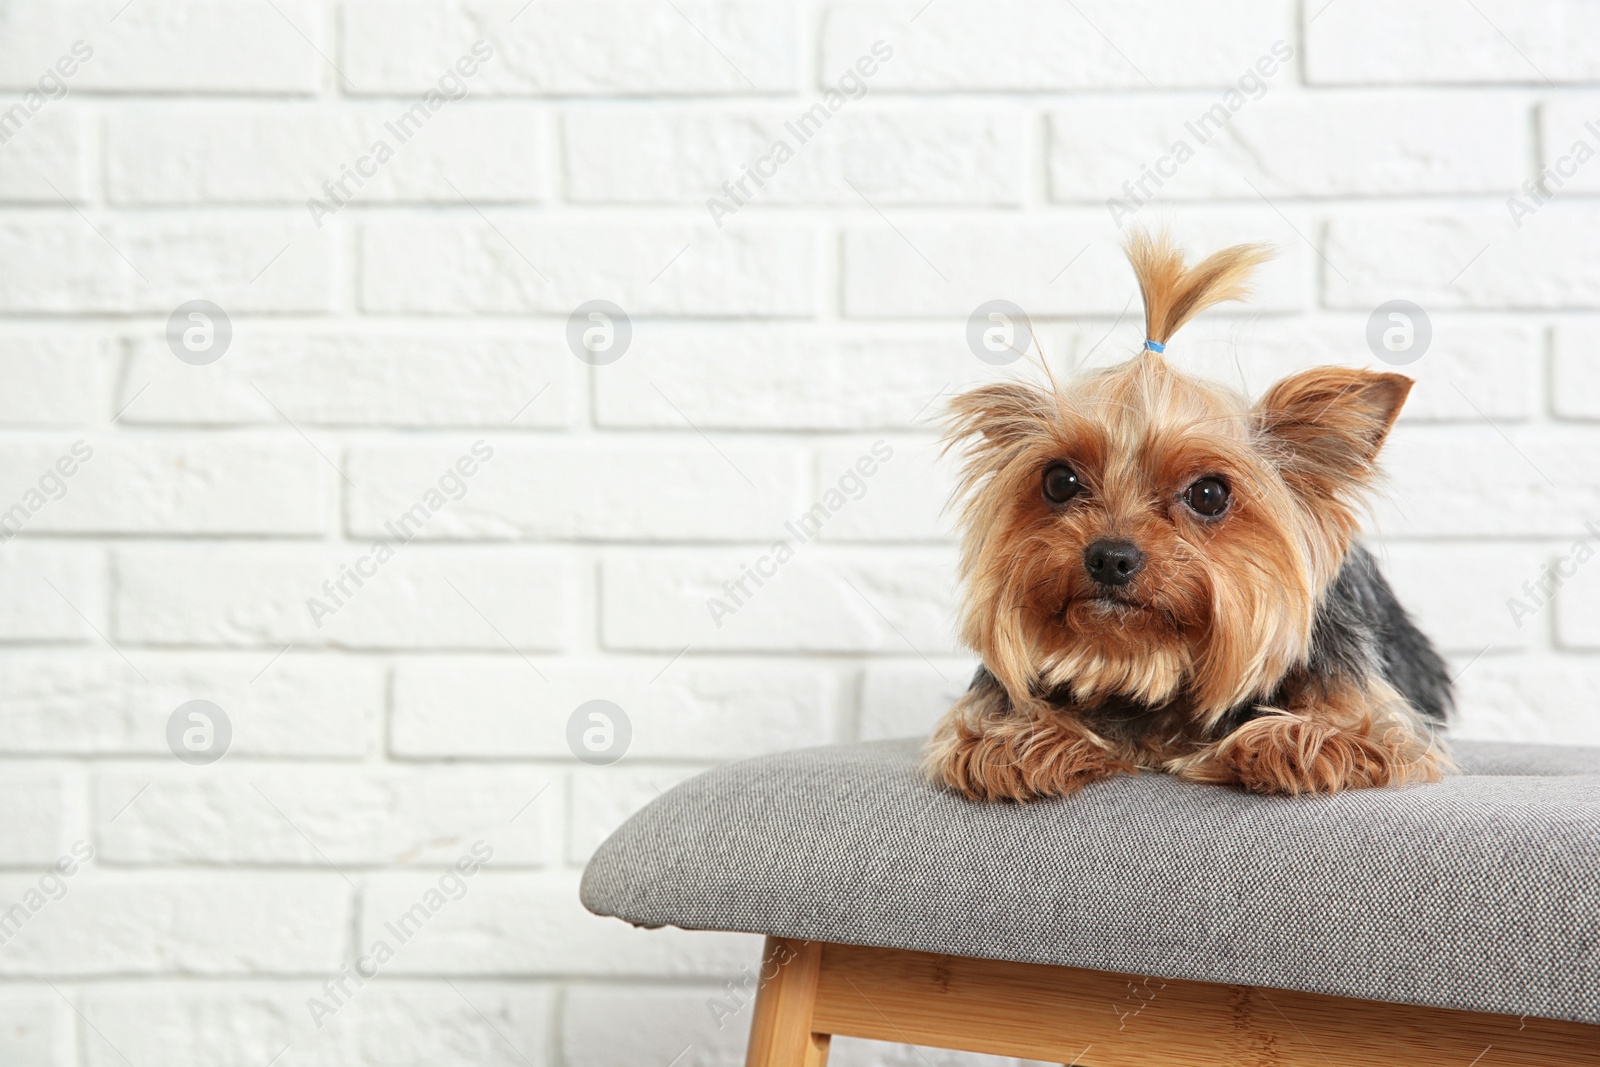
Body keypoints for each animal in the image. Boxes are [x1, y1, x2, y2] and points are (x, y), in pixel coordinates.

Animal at [928, 233, 1452, 799]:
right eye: (1059, 482)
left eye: (1208, 494)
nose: (1110, 558)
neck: (1145, 664)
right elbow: (982, 736)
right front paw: (1022, 741)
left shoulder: (1382, 721)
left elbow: (1367, 735)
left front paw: (1285, 741)